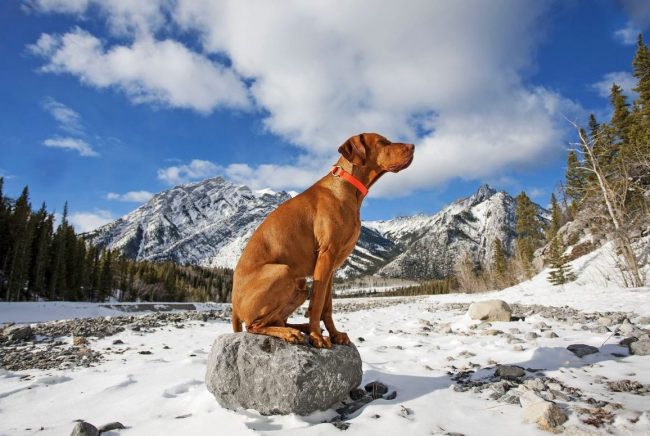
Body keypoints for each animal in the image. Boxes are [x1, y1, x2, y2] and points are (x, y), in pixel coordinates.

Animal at [230, 133, 412, 348]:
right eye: (383, 142)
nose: (413, 146)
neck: (348, 187)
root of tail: (234, 307)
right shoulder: (326, 254)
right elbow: (317, 304)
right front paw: (317, 337)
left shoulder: (332, 266)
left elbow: (327, 306)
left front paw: (334, 334)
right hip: (284, 272)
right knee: (254, 326)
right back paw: (290, 333)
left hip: (300, 285)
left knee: (276, 319)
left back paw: (299, 327)